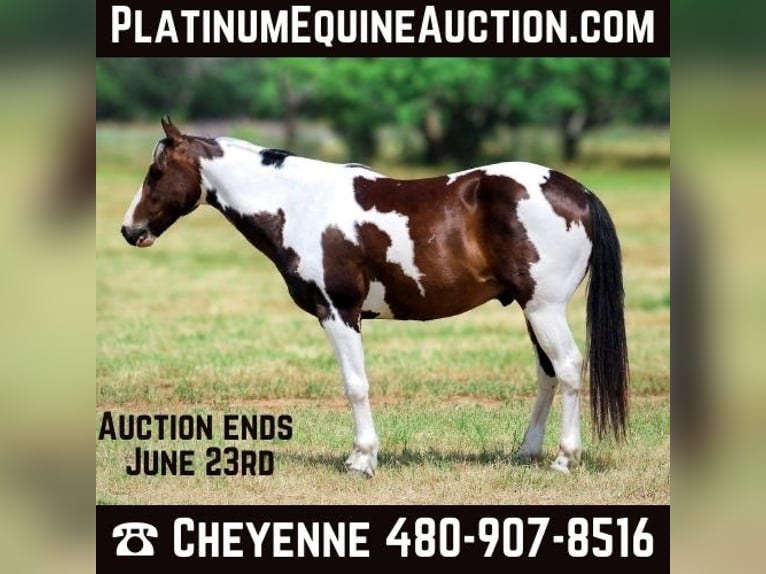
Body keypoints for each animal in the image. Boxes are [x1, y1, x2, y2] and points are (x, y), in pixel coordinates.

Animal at [121, 117, 629, 477]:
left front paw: (362, 459)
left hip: (545, 309)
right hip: (531, 310)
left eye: (156, 171)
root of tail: (578, 191)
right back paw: (526, 452)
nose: (130, 230)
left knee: (568, 368)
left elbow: (356, 385)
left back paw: (564, 460)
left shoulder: (338, 311)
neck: (300, 203)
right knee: (547, 373)